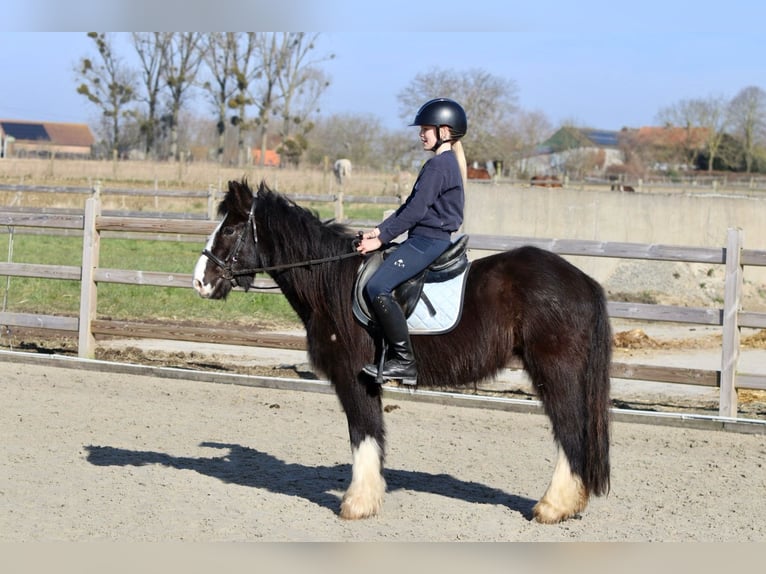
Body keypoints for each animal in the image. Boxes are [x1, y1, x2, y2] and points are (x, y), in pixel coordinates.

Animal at [195, 180, 616, 528]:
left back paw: (554, 506)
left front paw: (358, 503)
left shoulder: (354, 376)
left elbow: (363, 432)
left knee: (570, 431)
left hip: (555, 371)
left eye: (230, 229)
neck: (331, 283)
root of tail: (583, 281)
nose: (200, 282)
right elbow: (372, 433)